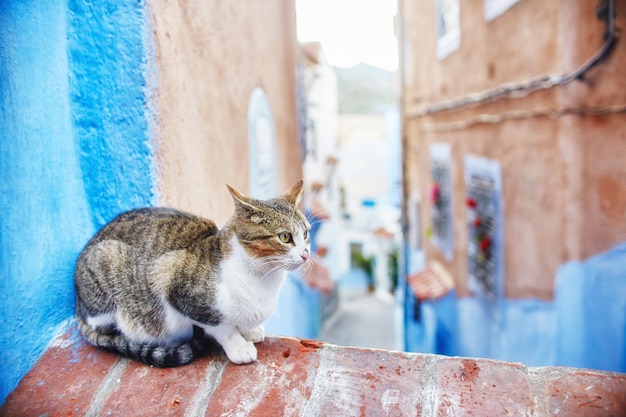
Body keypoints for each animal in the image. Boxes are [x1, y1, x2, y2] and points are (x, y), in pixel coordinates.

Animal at [74, 180, 308, 366]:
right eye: (285, 237)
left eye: (306, 233)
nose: (306, 254)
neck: (264, 278)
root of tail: (78, 304)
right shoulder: (170, 279)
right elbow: (224, 329)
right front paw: (240, 347)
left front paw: (251, 330)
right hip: (108, 263)